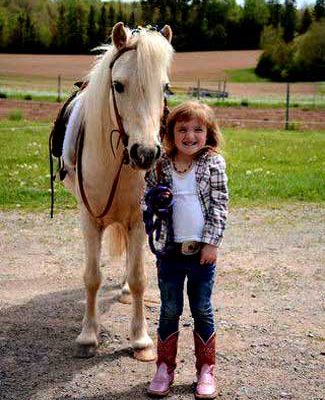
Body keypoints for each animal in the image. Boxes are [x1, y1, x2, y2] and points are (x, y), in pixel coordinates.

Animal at [60, 22, 172, 362]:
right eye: (119, 86)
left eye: (165, 88)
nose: (145, 153)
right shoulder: (88, 221)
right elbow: (91, 277)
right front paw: (87, 336)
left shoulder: (137, 220)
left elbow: (138, 279)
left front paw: (141, 340)